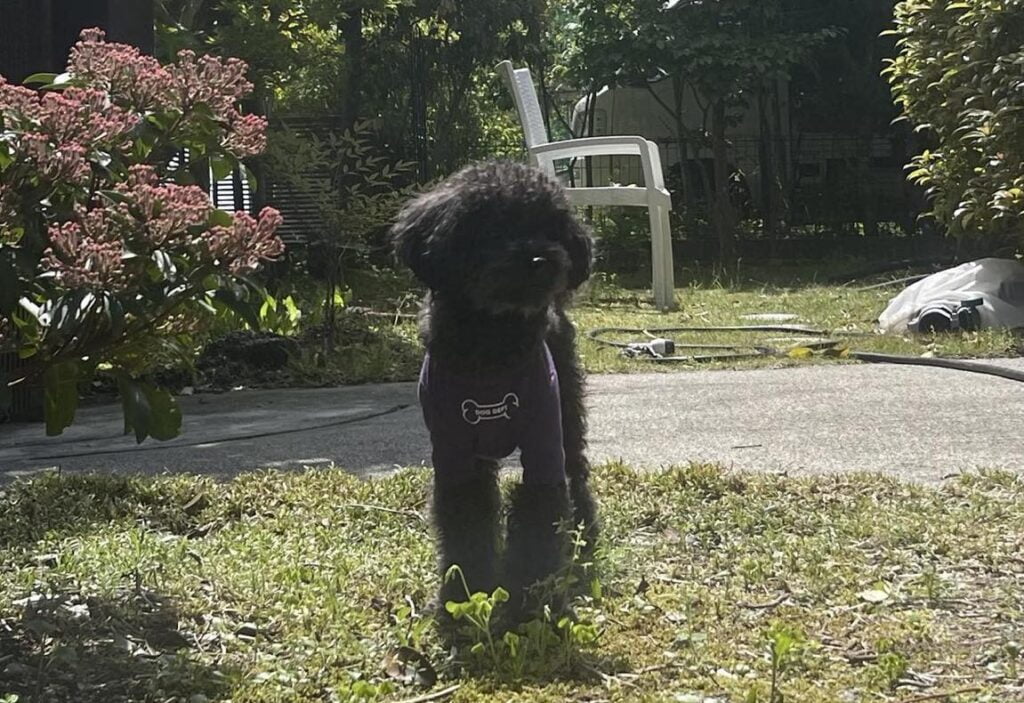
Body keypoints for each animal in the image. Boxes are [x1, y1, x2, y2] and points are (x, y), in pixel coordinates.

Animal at [391, 160, 598, 615]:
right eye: (493, 225)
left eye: (550, 226)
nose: (539, 258)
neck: (492, 340)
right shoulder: (454, 453)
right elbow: (466, 518)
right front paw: (464, 593)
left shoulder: (543, 442)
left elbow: (539, 511)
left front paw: (529, 602)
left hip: (567, 408)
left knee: (577, 466)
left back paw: (586, 528)